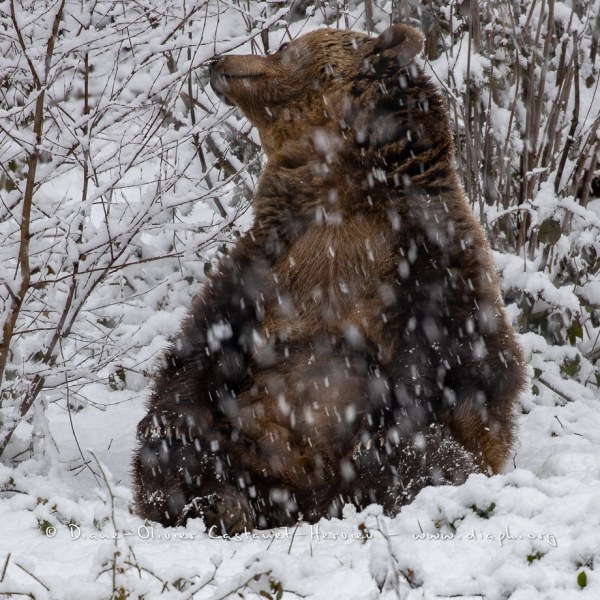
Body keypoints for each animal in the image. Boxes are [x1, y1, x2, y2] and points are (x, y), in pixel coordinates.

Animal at [131, 23, 524, 536]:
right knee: (179, 456)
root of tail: (308, 501)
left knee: (434, 459)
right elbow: (202, 341)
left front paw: (384, 435)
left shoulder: (432, 254)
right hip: (246, 445)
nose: (218, 61)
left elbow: (468, 357)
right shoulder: (269, 259)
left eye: (283, 45)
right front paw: (172, 421)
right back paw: (216, 502)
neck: (340, 192)